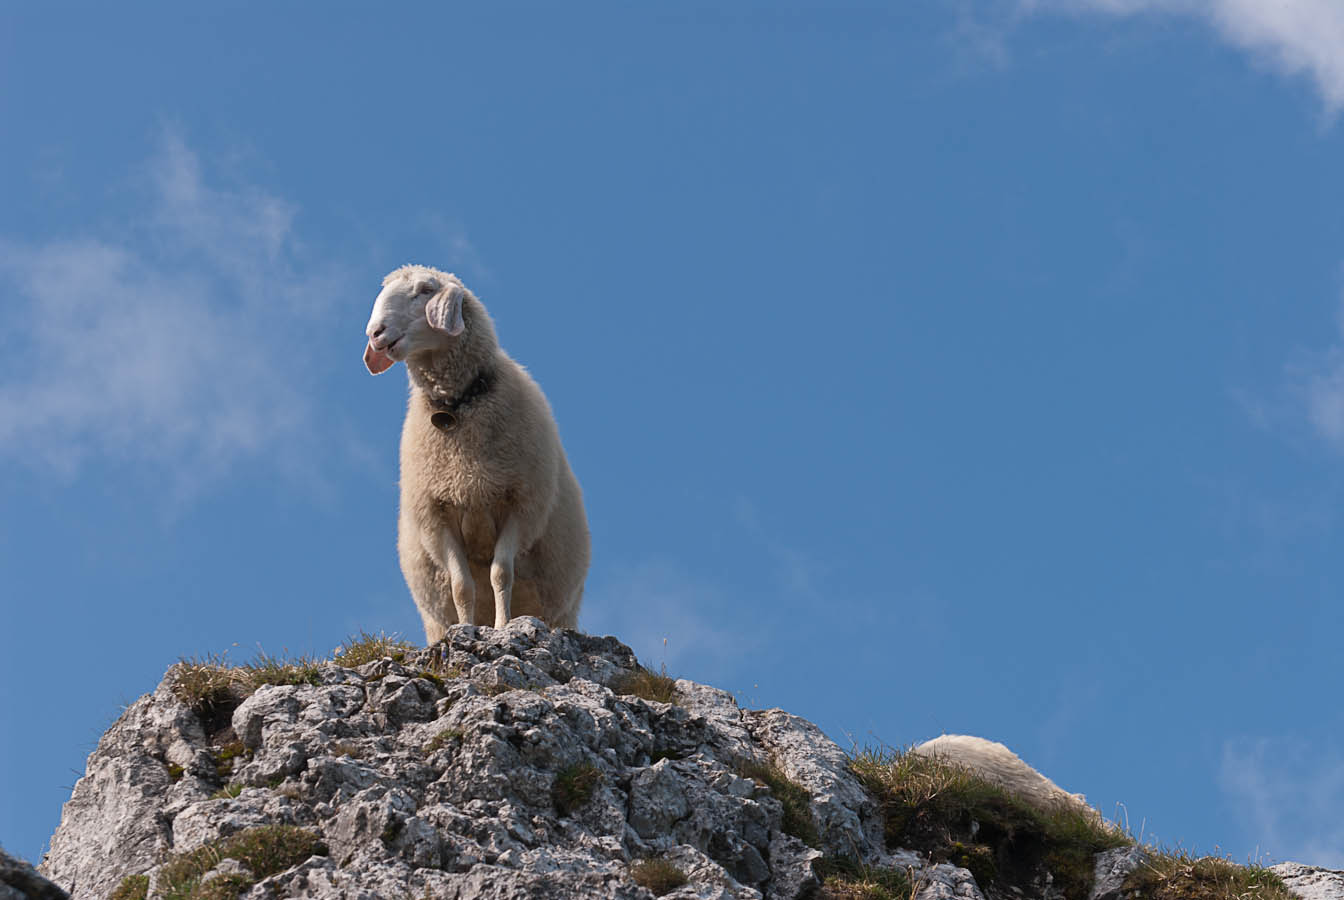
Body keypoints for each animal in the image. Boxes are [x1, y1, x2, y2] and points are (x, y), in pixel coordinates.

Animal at [362, 264, 588, 644]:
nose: (375, 333)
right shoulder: (438, 517)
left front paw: (502, 626)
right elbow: (461, 586)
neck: (457, 408)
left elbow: (501, 574)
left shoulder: (519, 506)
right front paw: (467, 629)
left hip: (561, 608)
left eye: (425, 290)